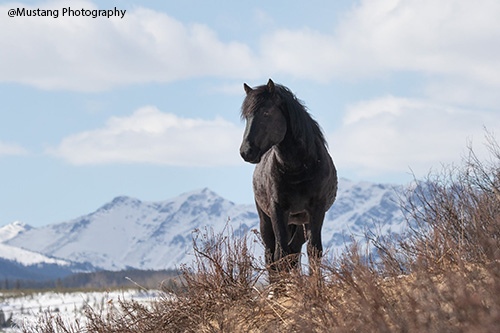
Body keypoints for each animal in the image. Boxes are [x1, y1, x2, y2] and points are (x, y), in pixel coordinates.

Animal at [240, 79, 338, 276]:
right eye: (246, 116)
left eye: (266, 113)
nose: (246, 151)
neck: (299, 170)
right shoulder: (278, 209)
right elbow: (280, 254)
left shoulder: (316, 209)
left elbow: (314, 251)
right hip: (267, 220)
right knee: (272, 254)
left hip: (299, 222)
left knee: (294, 251)